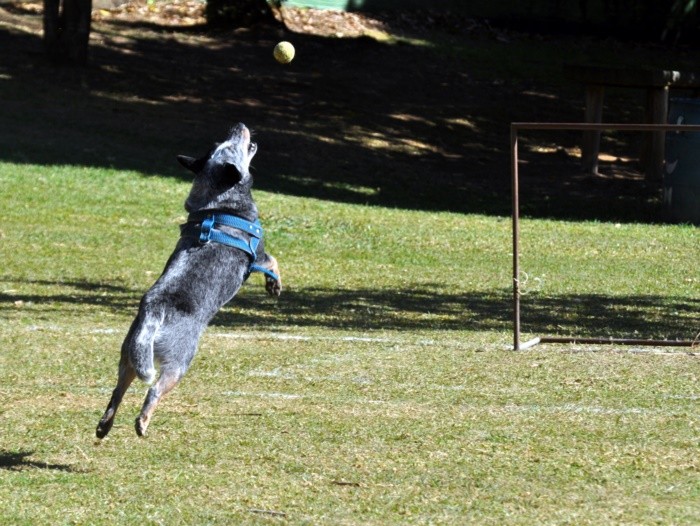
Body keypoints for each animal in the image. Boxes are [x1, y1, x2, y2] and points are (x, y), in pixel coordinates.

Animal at [96, 121, 282, 440]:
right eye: (232, 143)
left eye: (220, 143)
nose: (238, 125)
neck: (217, 203)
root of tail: (154, 307)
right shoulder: (257, 254)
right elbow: (273, 262)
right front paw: (274, 285)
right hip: (179, 361)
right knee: (154, 390)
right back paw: (143, 421)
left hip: (131, 353)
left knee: (117, 391)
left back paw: (104, 425)